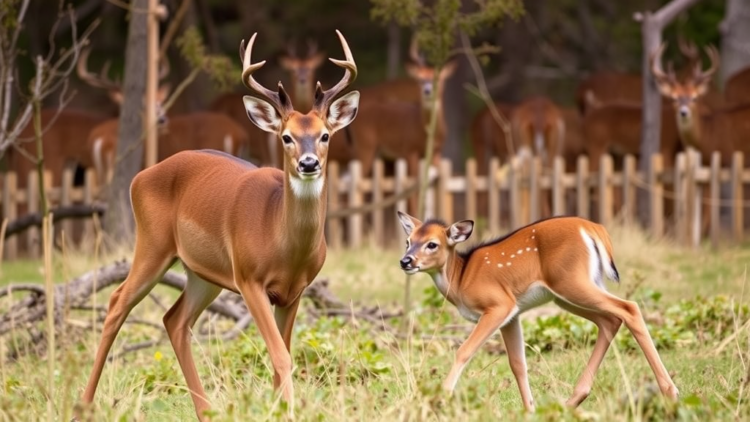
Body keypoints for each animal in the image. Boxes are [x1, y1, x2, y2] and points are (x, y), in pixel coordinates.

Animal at [80, 30, 359, 421]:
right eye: (286, 136)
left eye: (325, 135)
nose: (308, 163)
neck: (283, 243)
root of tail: (140, 177)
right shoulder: (249, 278)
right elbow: (281, 356)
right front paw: (286, 409)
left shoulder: (295, 291)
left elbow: (283, 355)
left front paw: (279, 407)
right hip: (152, 244)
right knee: (118, 301)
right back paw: (84, 405)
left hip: (203, 273)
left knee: (175, 320)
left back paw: (205, 411)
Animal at [396, 211, 679, 411]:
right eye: (408, 241)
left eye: (432, 244)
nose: (405, 261)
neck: (460, 279)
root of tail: (595, 229)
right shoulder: (513, 314)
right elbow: (518, 363)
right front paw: (529, 409)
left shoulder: (499, 304)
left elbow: (464, 350)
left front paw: (440, 398)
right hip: (569, 293)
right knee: (610, 319)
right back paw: (572, 400)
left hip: (571, 283)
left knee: (629, 307)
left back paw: (670, 392)